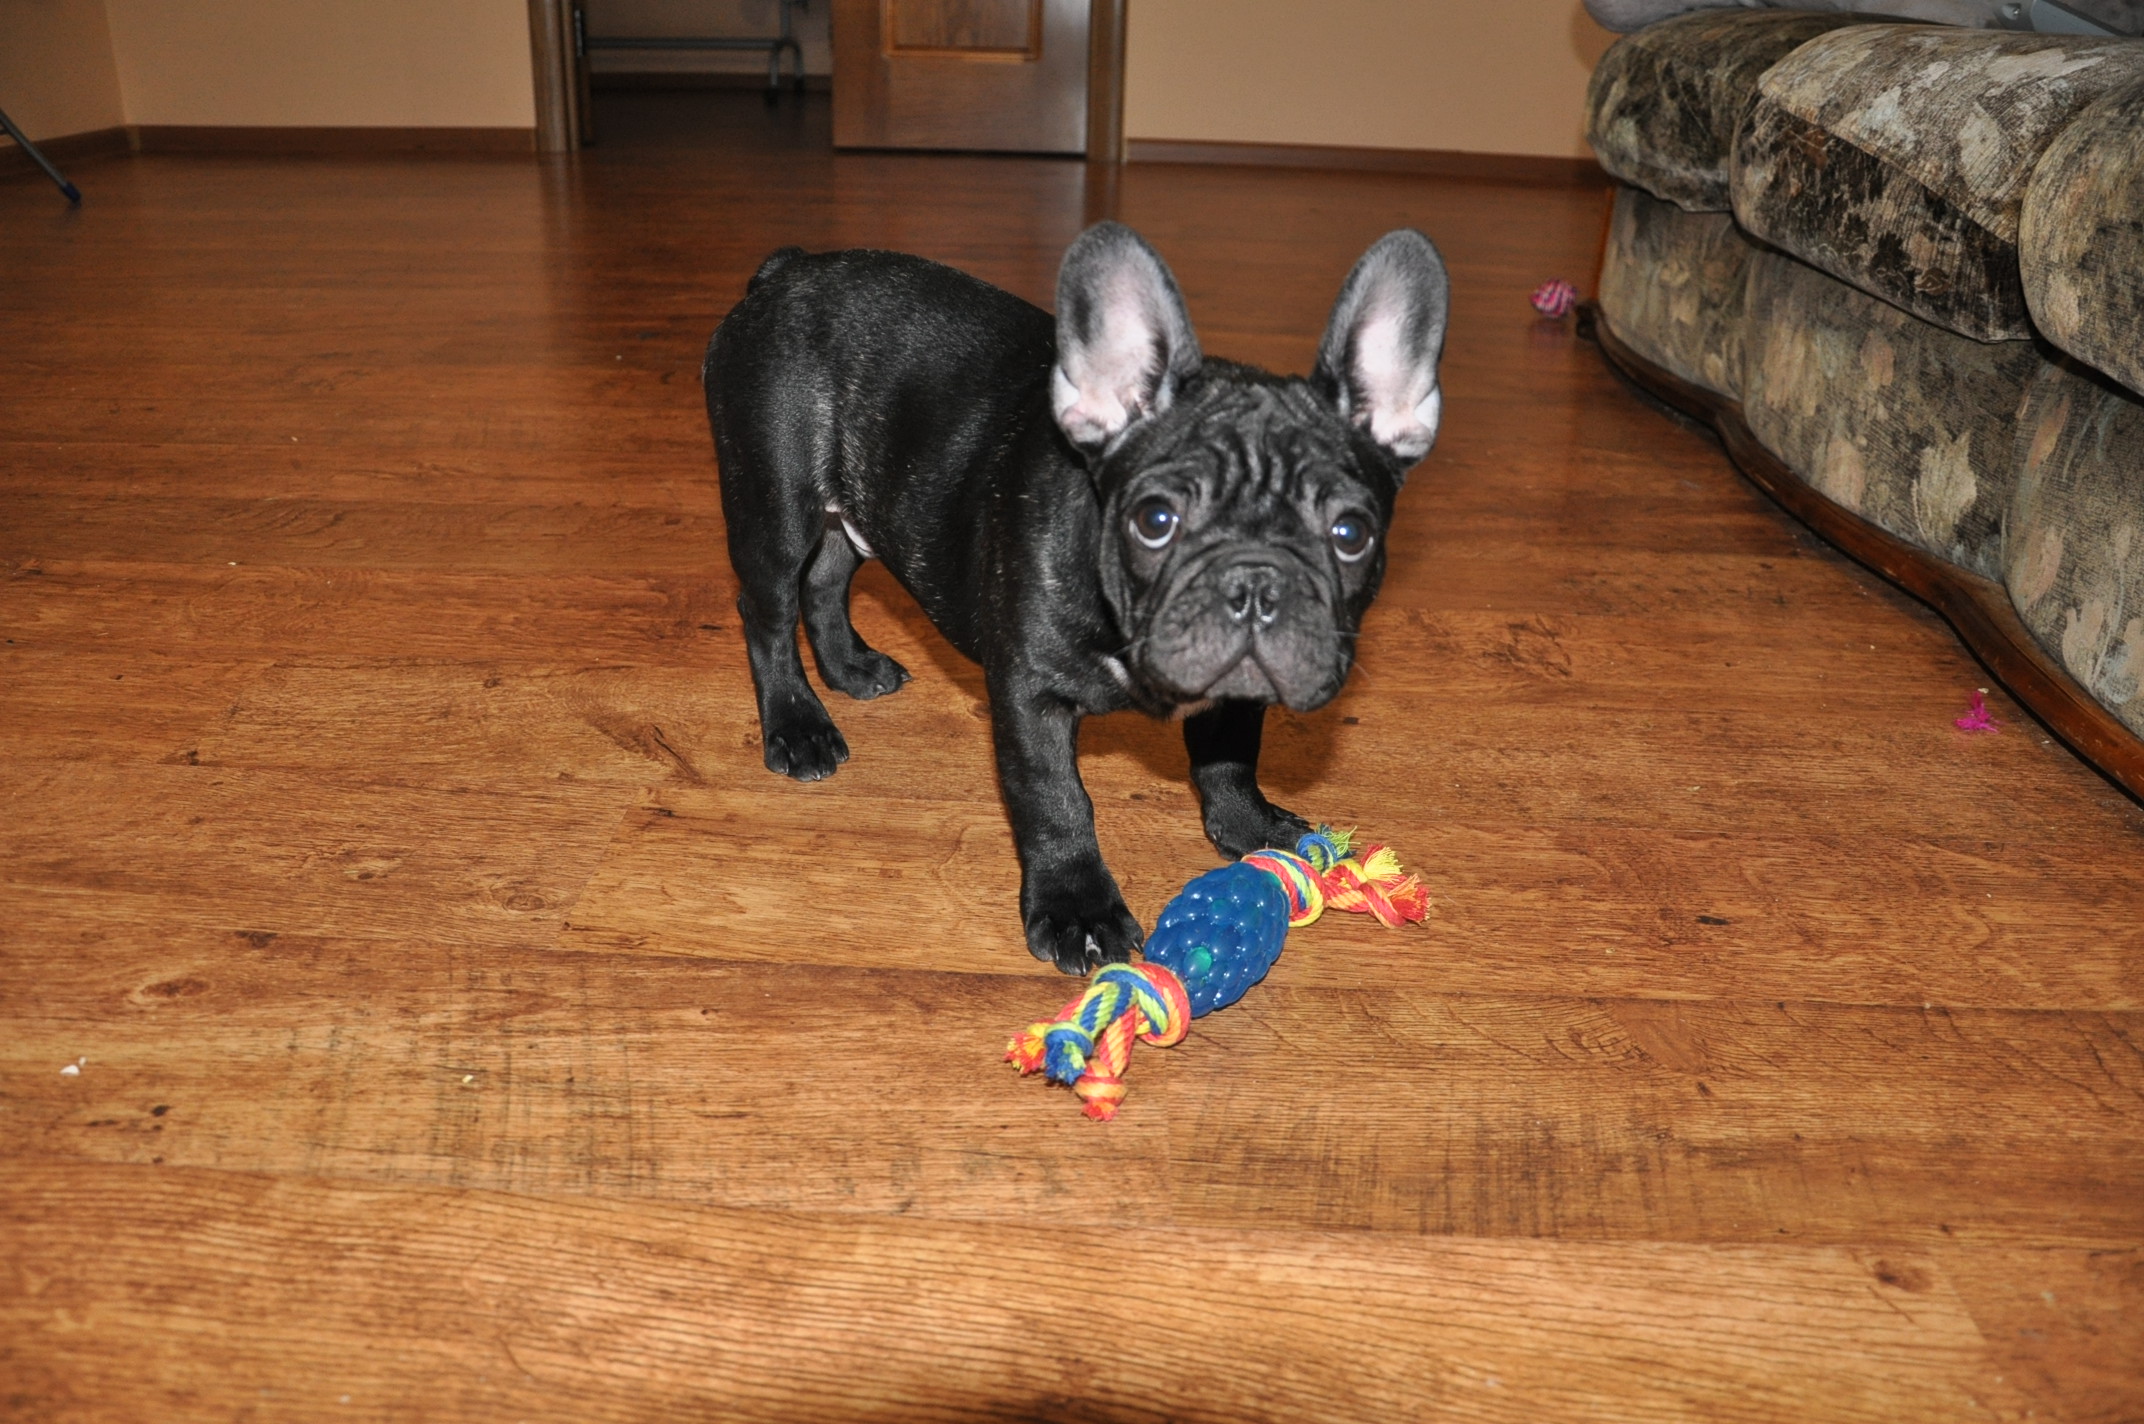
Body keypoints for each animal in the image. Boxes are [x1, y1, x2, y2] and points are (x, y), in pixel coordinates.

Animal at [705, 221, 1448, 974]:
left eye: (1351, 534)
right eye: (1155, 520)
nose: (1255, 580)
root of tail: (788, 271)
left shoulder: (1237, 688)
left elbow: (1230, 750)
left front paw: (1250, 824)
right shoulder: (1028, 694)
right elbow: (1054, 796)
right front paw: (1077, 909)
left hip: (855, 509)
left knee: (826, 579)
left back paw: (851, 668)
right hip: (775, 502)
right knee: (767, 611)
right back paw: (797, 724)